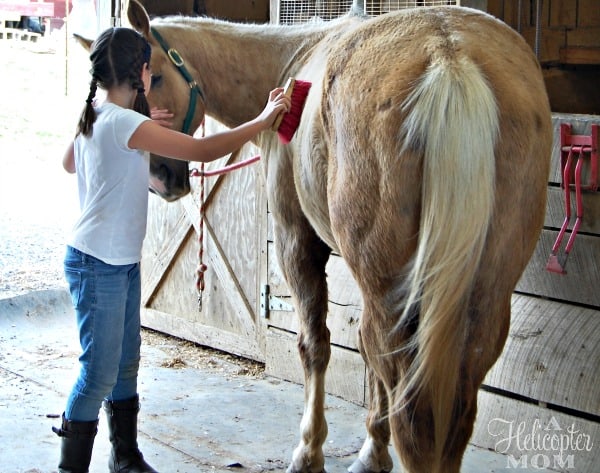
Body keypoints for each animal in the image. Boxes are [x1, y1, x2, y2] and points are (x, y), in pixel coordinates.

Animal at [126, 1, 552, 470]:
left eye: (155, 77)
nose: (160, 176)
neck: (293, 65)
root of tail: (449, 58)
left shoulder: (296, 241)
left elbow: (316, 345)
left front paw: (310, 451)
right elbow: (363, 355)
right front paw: (373, 450)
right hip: (480, 296)